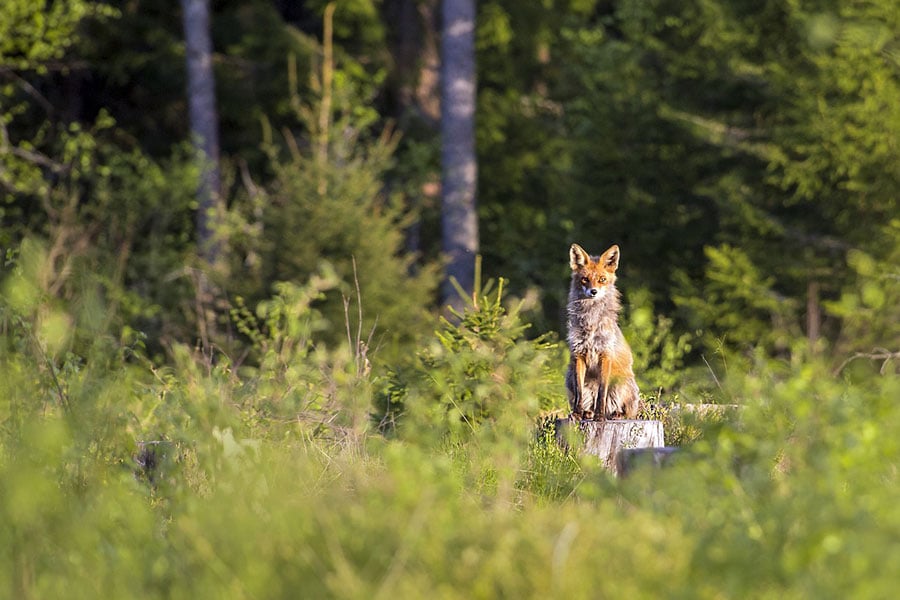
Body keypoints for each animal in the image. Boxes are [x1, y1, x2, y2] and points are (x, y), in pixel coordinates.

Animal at [565, 243, 641, 420]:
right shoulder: (579, 354)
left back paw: (615, 414)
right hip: (569, 376)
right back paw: (587, 413)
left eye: (602, 279)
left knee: (626, 411)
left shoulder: (605, 355)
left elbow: (602, 393)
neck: (591, 323)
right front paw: (577, 414)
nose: (593, 291)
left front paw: (599, 417)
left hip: (623, 382)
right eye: (584, 279)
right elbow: (579, 393)